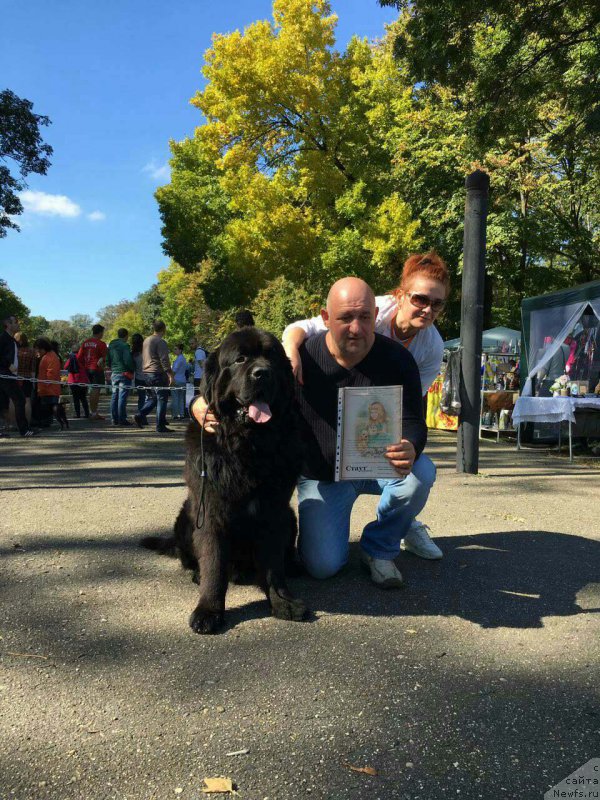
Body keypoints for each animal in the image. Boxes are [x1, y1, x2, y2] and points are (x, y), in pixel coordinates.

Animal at [142, 328, 308, 636]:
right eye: (240, 359)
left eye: (272, 358)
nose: (263, 373)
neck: (248, 446)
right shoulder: (210, 511)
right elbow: (214, 565)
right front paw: (208, 610)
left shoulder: (274, 511)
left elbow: (273, 566)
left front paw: (283, 602)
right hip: (187, 516)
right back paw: (197, 573)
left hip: (291, 516)